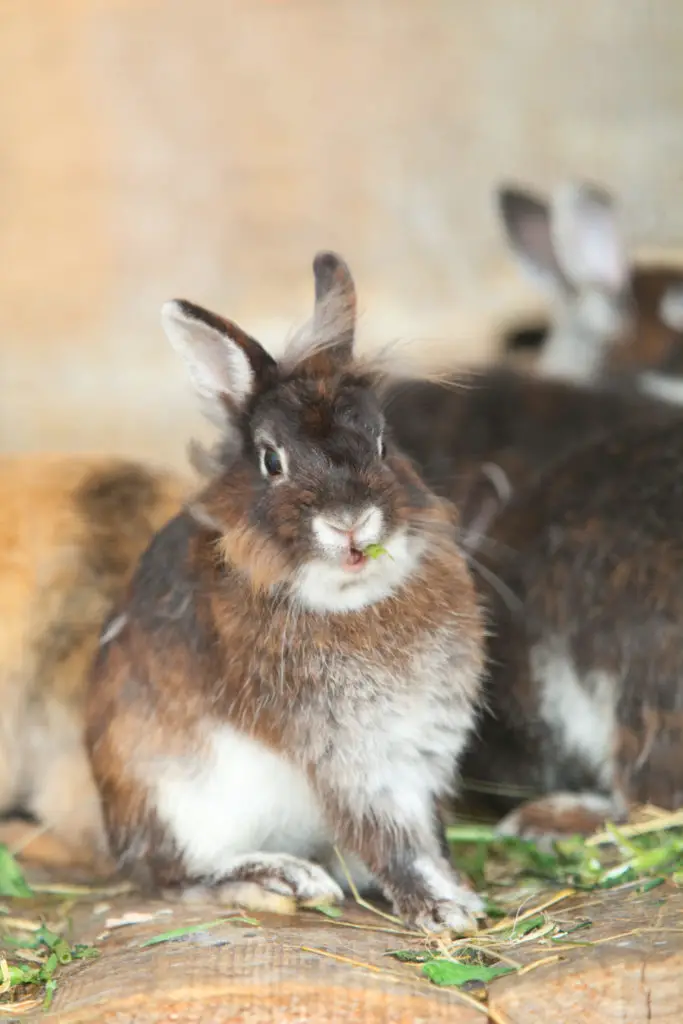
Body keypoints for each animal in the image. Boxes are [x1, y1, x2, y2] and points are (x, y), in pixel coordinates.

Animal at [85, 251, 491, 933]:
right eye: (271, 461)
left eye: (383, 443)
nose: (351, 521)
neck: (349, 600)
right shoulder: (348, 754)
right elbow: (392, 835)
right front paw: (444, 911)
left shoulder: (421, 748)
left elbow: (425, 834)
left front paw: (454, 889)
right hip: (172, 795)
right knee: (173, 877)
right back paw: (283, 878)